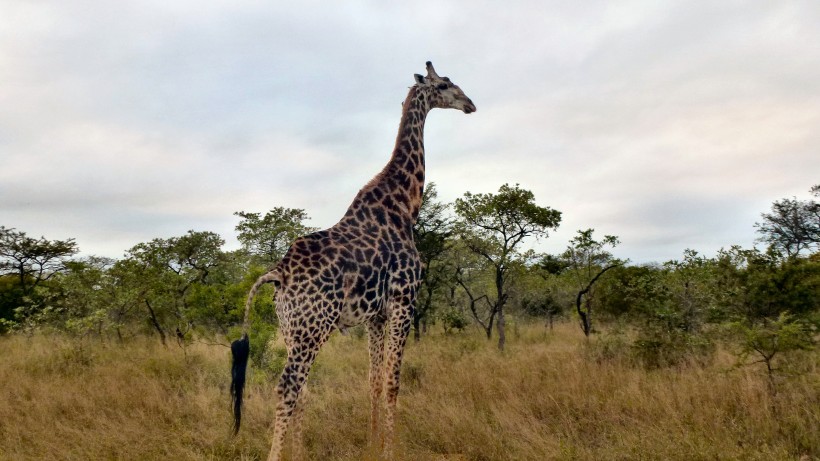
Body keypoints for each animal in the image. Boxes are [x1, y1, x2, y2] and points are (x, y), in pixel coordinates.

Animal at [231, 62, 474, 460]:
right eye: (444, 84)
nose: (470, 104)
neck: (405, 206)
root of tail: (279, 273)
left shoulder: (375, 316)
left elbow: (373, 381)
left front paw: (372, 445)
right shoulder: (404, 302)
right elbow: (392, 383)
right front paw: (389, 450)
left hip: (292, 329)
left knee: (301, 390)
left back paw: (300, 453)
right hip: (313, 328)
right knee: (287, 387)